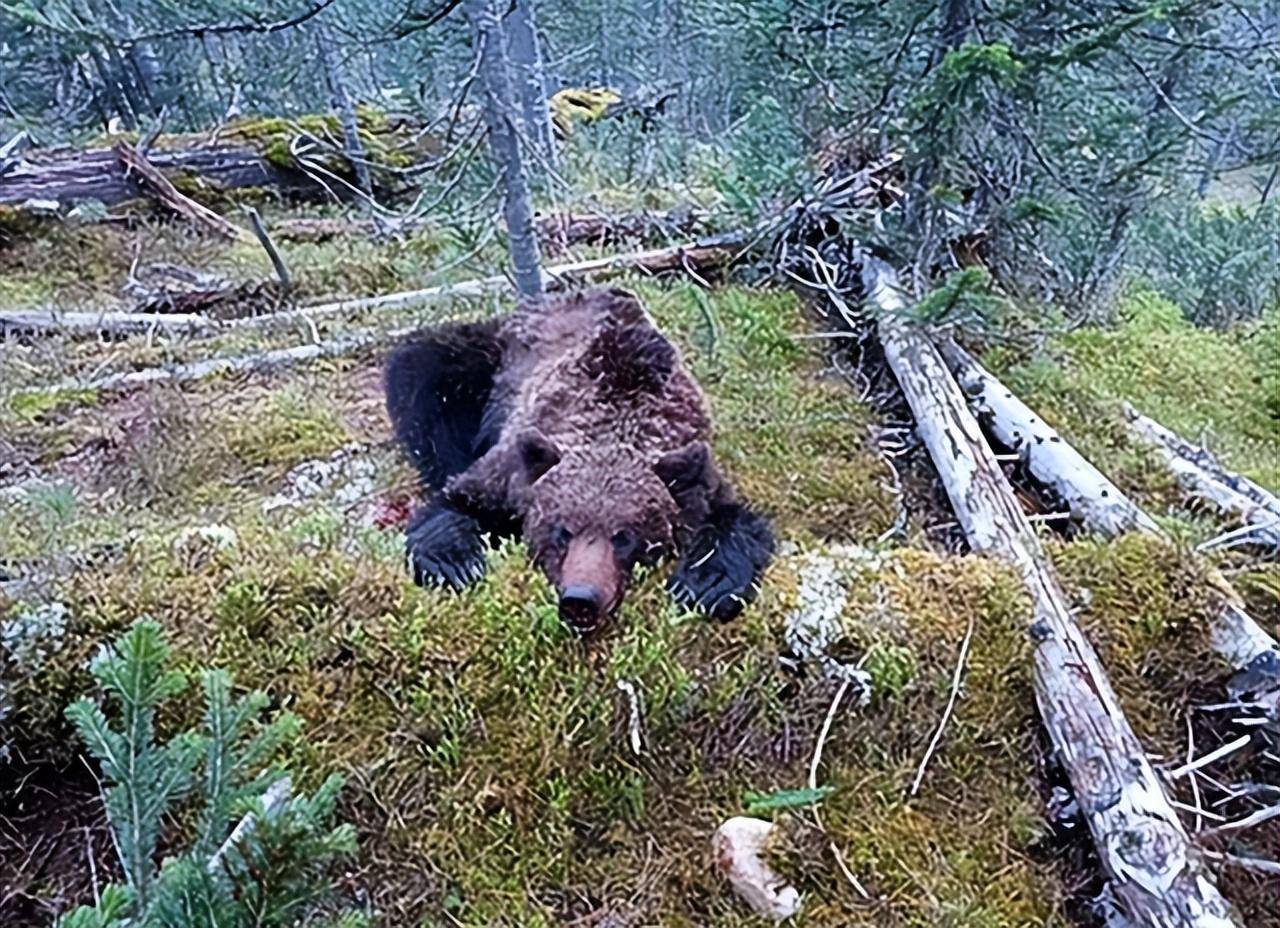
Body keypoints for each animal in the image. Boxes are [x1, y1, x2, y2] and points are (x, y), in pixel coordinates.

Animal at [384, 284, 773, 629]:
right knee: (425, 372)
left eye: (625, 536)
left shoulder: (694, 465)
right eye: (562, 531)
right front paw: (454, 564)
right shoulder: (513, 468)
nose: (581, 599)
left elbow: (735, 521)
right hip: (486, 360)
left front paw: (707, 584)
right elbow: (456, 501)